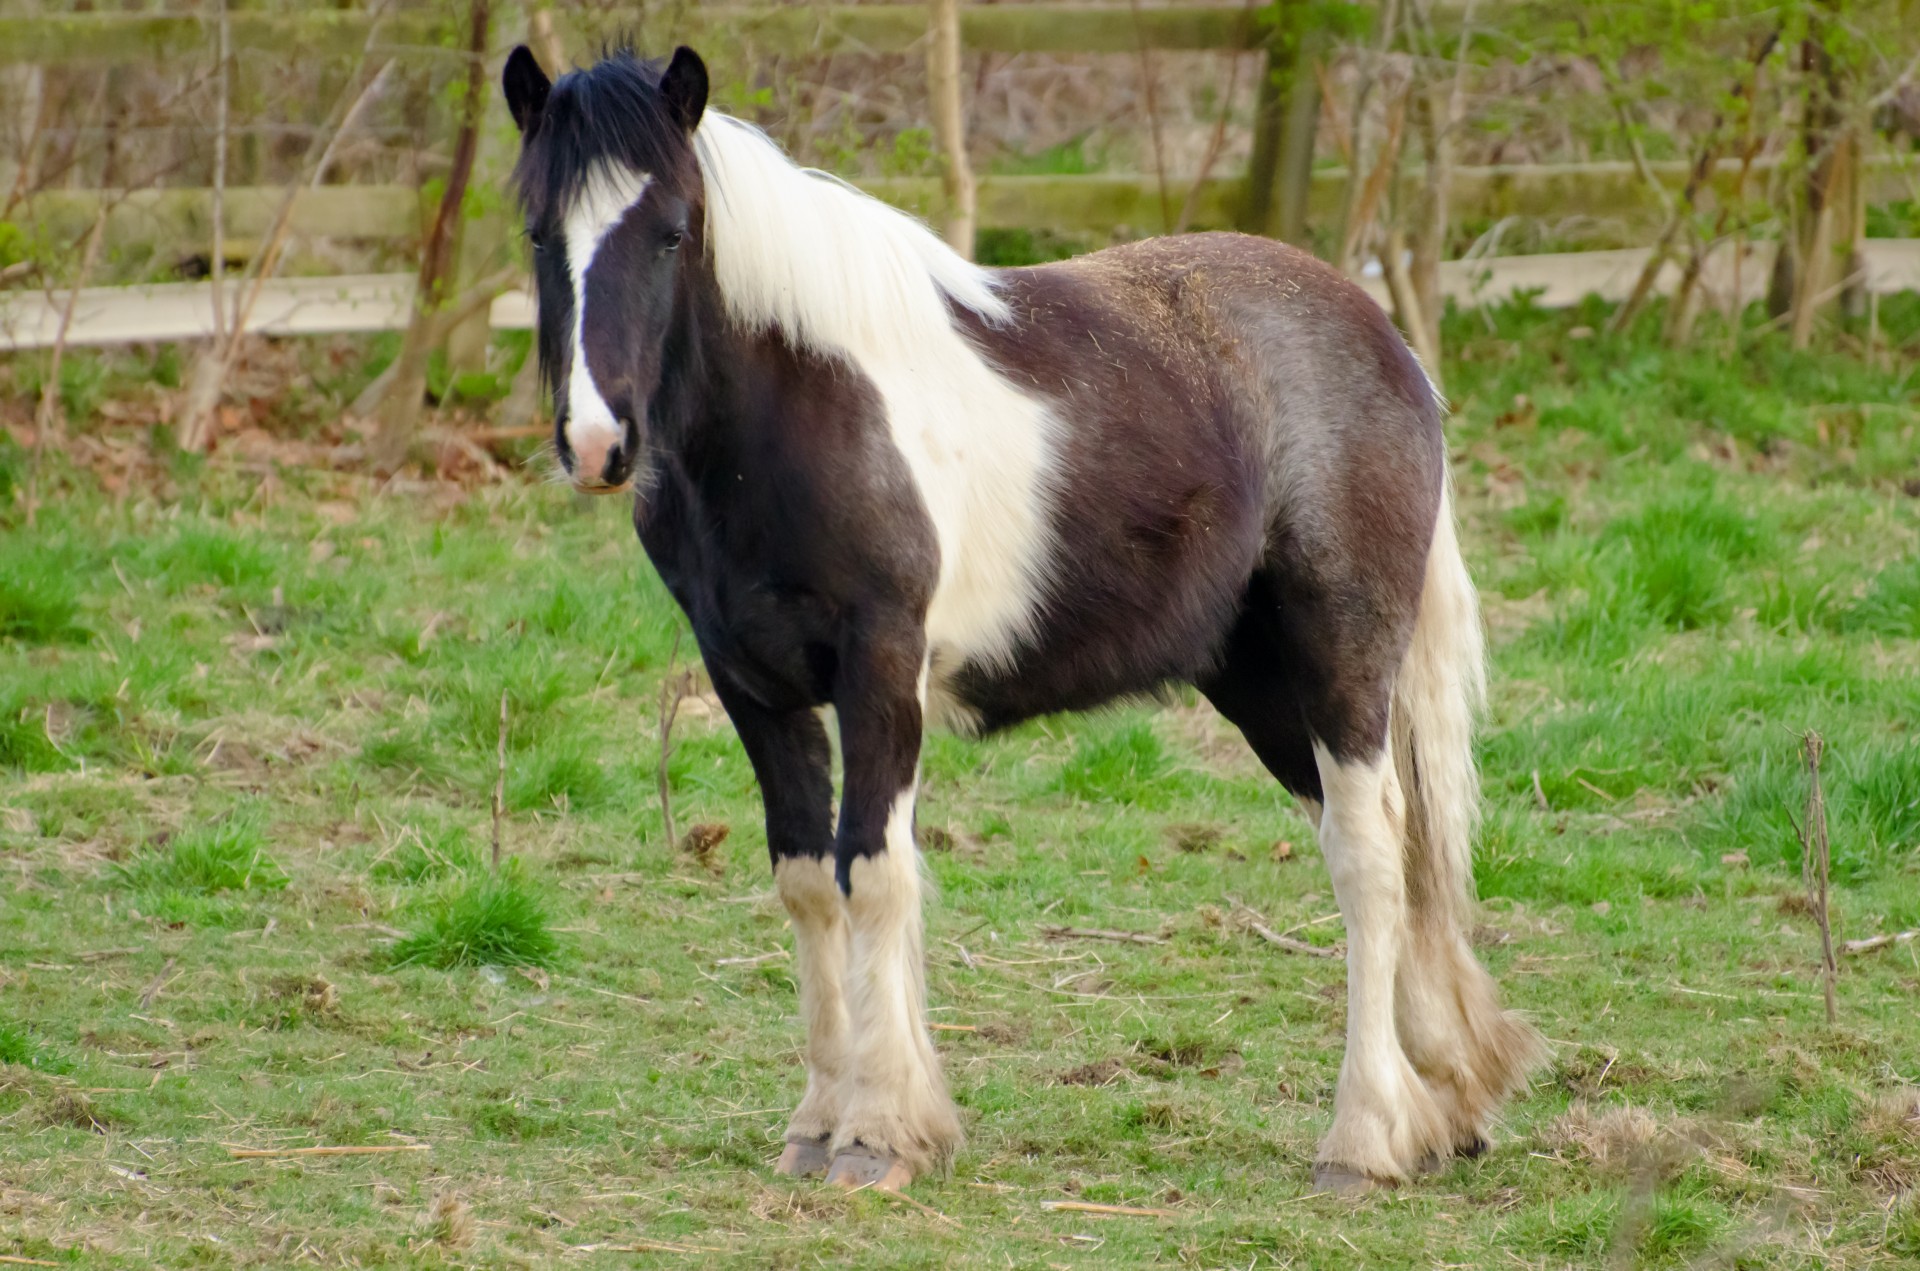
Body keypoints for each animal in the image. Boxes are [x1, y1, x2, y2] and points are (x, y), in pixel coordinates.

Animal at [499, 39, 1543, 1198]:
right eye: (541, 232)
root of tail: (1385, 339)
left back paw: (1362, 1138)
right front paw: (819, 1124)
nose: (599, 443)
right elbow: (809, 879)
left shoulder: (881, 668)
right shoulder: (753, 685)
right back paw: (1444, 1106)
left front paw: (876, 1135)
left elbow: (873, 872)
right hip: (1261, 686)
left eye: (674, 229)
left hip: (1342, 662)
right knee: (1397, 856)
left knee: (1367, 858)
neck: (803, 410)